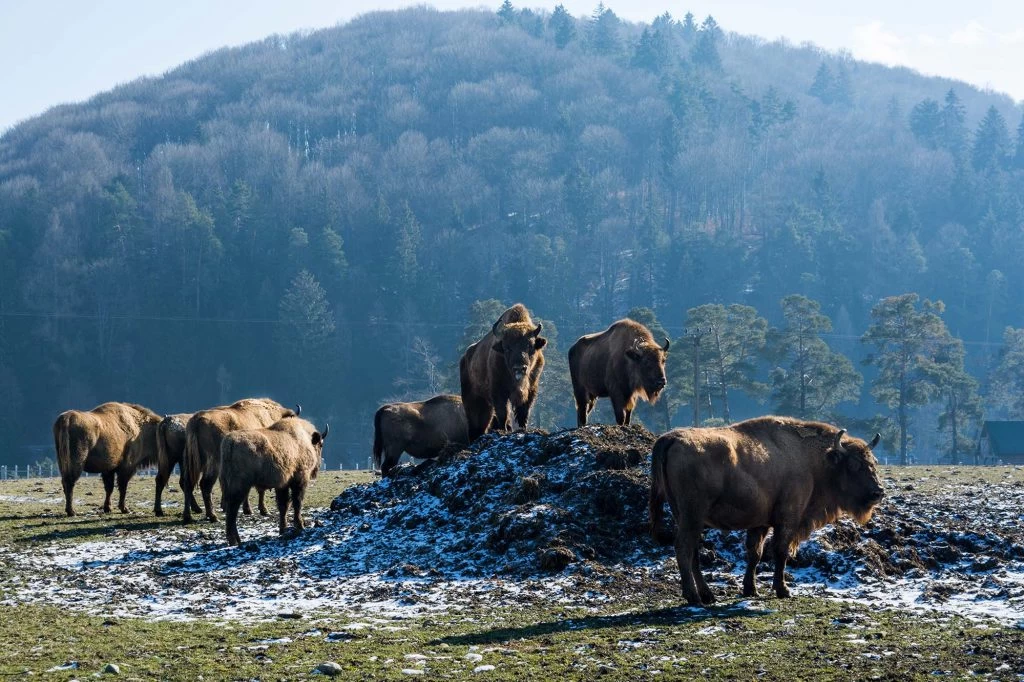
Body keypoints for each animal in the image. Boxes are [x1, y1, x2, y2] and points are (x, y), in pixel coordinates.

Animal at [221, 411, 327, 544]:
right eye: (321, 445)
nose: (318, 467)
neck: (303, 439)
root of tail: (230, 443)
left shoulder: (282, 485)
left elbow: (283, 505)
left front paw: (283, 529)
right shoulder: (299, 480)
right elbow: (297, 502)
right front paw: (300, 525)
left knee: (230, 511)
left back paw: (237, 540)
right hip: (240, 488)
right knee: (232, 511)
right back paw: (234, 540)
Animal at [460, 301, 548, 438]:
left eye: (530, 346)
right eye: (507, 348)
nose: (519, 368)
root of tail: (465, 357)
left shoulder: (531, 389)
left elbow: (523, 411)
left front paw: (522, 429)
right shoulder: (499, 391)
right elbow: (503, 412)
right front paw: (504, 430)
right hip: (473, 399)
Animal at [647, 417, 880, 602]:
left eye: (874, 462)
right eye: (854, 465)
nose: (878, 492)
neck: (813, 460)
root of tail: (671, 438)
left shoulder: (759, 523)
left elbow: (755, 553)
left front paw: (750, 590)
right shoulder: (788, 519)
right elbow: (780, 551)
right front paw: (783, 590)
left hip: (685, 517)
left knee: (692, 551)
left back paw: (707, 595)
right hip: (692, 516)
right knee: (684, 548)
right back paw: (693, 597)